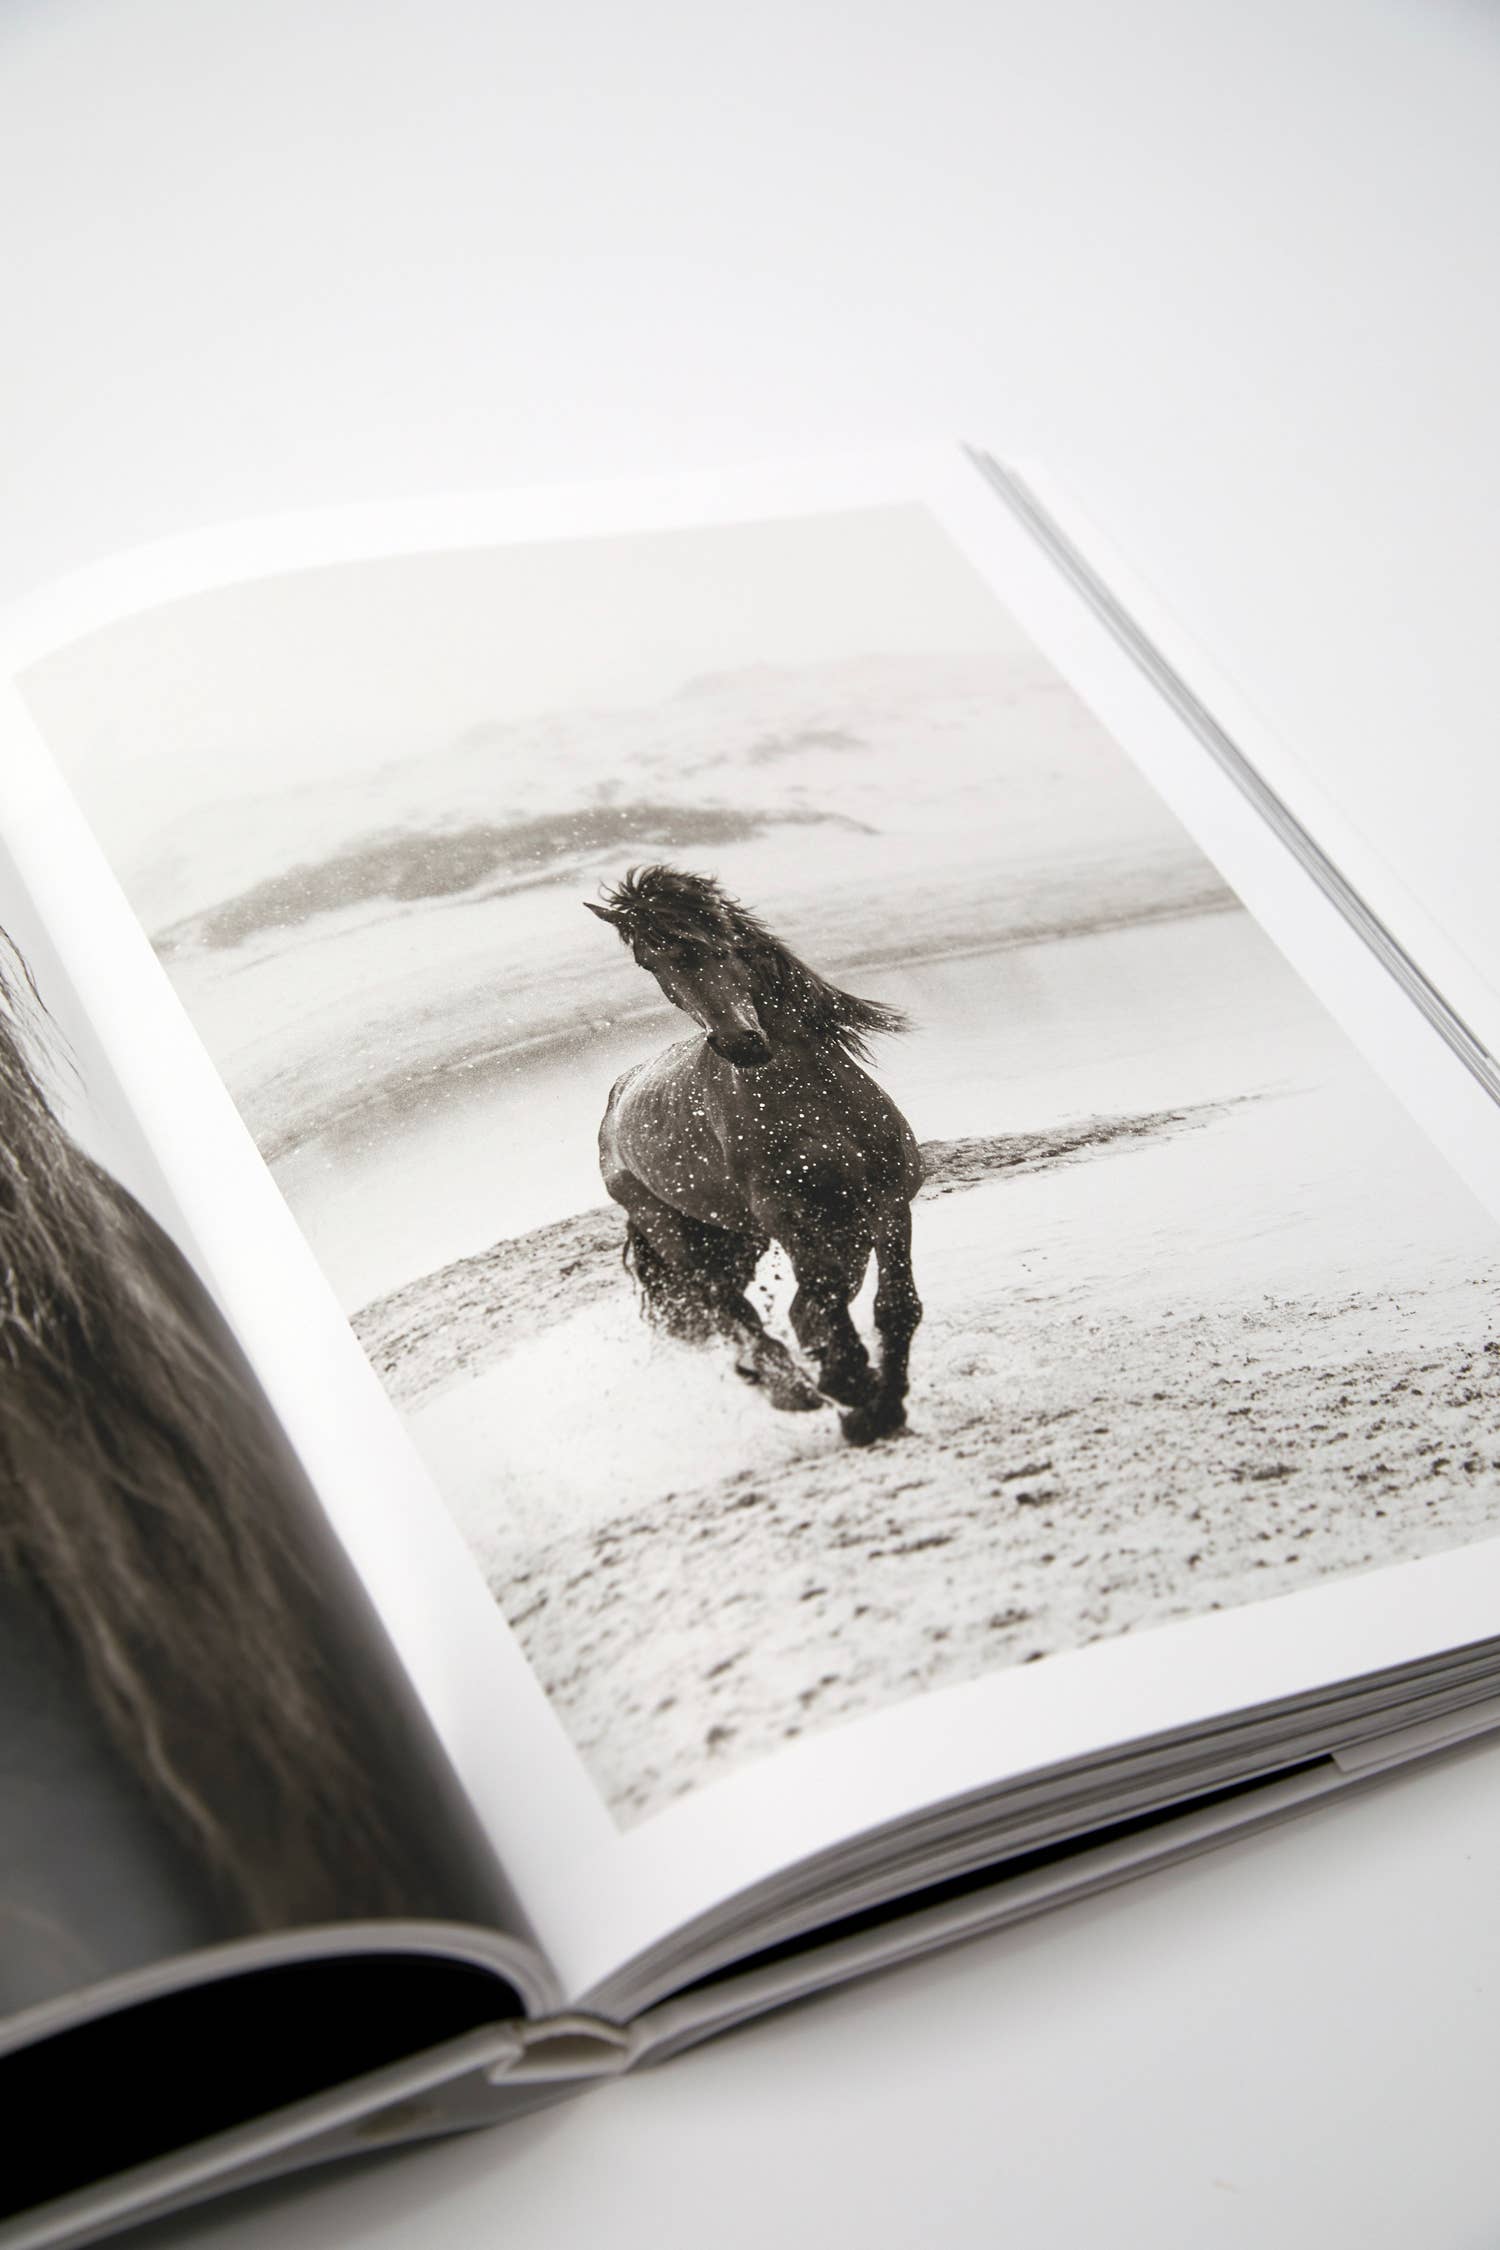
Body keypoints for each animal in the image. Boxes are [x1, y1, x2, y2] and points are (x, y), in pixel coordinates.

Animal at [586, 865, 923, 1445]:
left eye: (719, 939)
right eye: (650, 962)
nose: (739, 1043)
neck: (809, 1100)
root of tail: (615, 1104)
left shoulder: (887, 1201)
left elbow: (893, 1306)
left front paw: (882, 1408)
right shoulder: (788, 1214)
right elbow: (824, 1295)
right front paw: (853, 1388)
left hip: (746, 1237)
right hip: (678, 1234)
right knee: (730, 1309)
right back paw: (790, 1387)